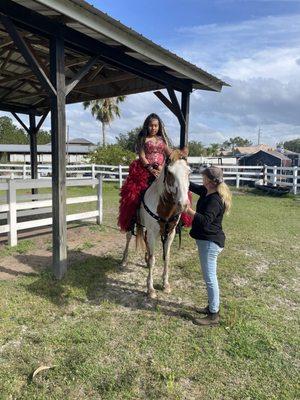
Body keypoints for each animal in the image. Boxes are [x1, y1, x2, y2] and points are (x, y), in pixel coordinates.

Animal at [121, 150, 190, 296]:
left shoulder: (170, 233)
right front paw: (150, 288)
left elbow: (167, 258)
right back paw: (124, 260)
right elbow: (153, 259)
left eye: (189, 172)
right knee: (129, 237)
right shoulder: (153, 233)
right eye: (169, 172)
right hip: (132, 223)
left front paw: (165, 284)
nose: (183, 204)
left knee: (145, 239)